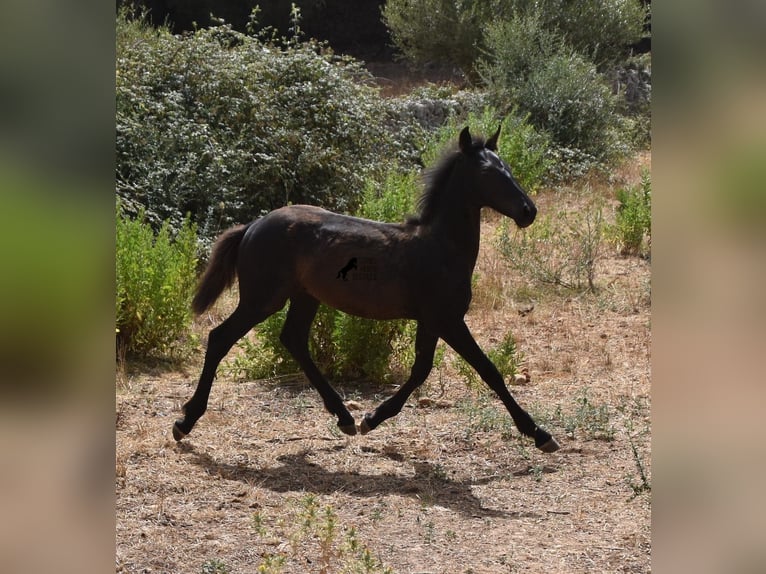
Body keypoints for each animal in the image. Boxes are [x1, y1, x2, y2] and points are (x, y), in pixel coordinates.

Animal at [172, 127, 560, 454]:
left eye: (507, 167)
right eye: (487, 172)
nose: (528, 211)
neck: (440, 247)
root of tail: (252, 226)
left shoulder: (431, 321)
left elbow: (422, 369)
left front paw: (371, 419)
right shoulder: (447, 319)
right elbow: (488, 370)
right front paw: (539, 434)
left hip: (304, 297)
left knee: (293, 340)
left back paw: (344, 418)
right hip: (262, 298)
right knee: (220, 338)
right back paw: (185, 422)